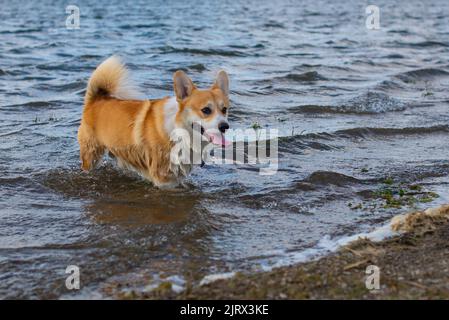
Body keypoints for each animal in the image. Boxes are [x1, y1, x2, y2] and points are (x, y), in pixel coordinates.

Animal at [77, 56, 229, 186]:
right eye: (206, 110)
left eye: (224, 109)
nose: (225, 126)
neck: (178, 128)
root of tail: (96, 99)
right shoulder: (163, 178)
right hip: (91, 153)